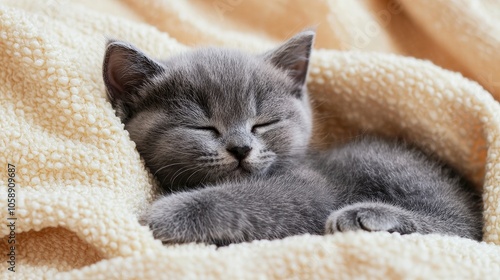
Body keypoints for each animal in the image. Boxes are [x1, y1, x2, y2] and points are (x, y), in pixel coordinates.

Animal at [103, 31, 482, 245]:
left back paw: (365, 217)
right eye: (203, 127)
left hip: (372, 158)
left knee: (462, 232)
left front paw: (166, 213)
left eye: (263, 124)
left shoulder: (312, 188)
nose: (241, 148)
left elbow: (261, 198)